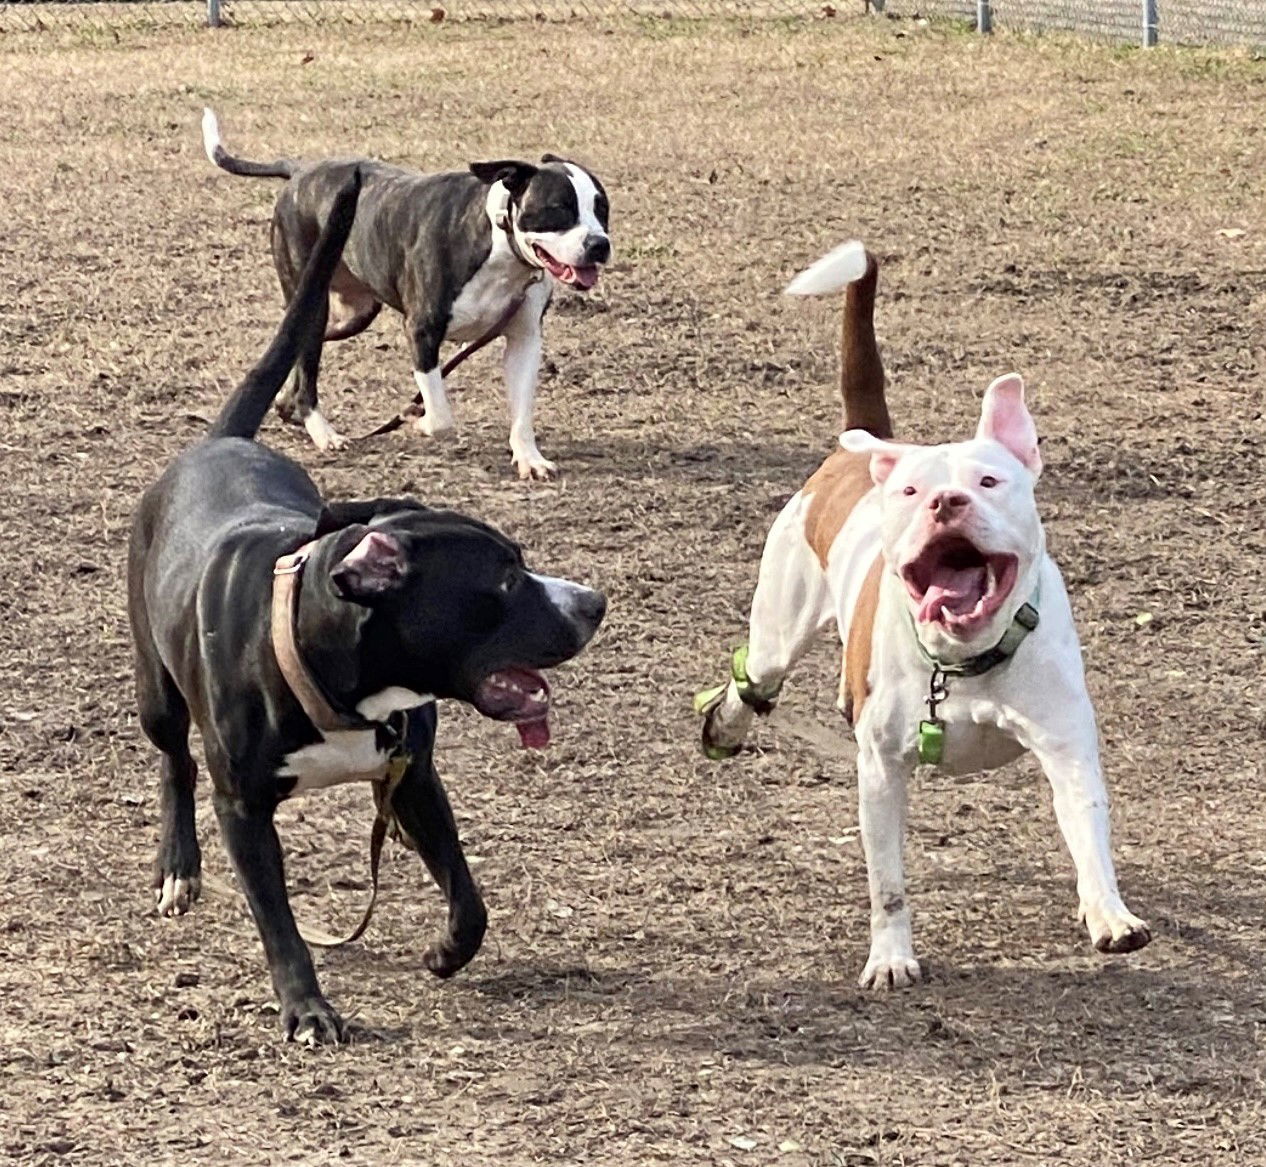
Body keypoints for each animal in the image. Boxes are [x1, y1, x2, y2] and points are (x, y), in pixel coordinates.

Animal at [131, 168, 605, 1042]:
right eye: (504, 581)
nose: (594, 602)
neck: (337, 678)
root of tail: (217, 442)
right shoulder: (243, 808)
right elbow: (279, 922)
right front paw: (308, 1008)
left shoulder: (412, 777)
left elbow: (469, 895)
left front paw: (447, 952)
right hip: (156, 686)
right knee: (173, 760)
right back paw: (177, 867)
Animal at [200, 105, 610, 478]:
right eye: (559, 209)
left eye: (602, 209)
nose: (599, 244)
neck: (500, 244)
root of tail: (300, 172)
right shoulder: (422, 330)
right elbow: (441, 414)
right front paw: (419, 421)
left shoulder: (524, 339)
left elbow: (522, 411)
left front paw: (529, 457)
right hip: (314, 298)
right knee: (308, 362)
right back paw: (322, 430)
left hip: (354, 315)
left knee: (303, 350)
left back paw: (289, 404)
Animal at [698, 240, 1154, 987]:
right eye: (913, 492)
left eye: (990, 480)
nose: (945, 500)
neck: (964, 660)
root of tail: (863, 444)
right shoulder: (881, 770)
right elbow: (888, 883)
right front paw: (891, 958)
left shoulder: (1065, 746)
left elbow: (1089, 835)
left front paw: (1110, 915)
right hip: (777, 630)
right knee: (753, 679)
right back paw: (727, 726)